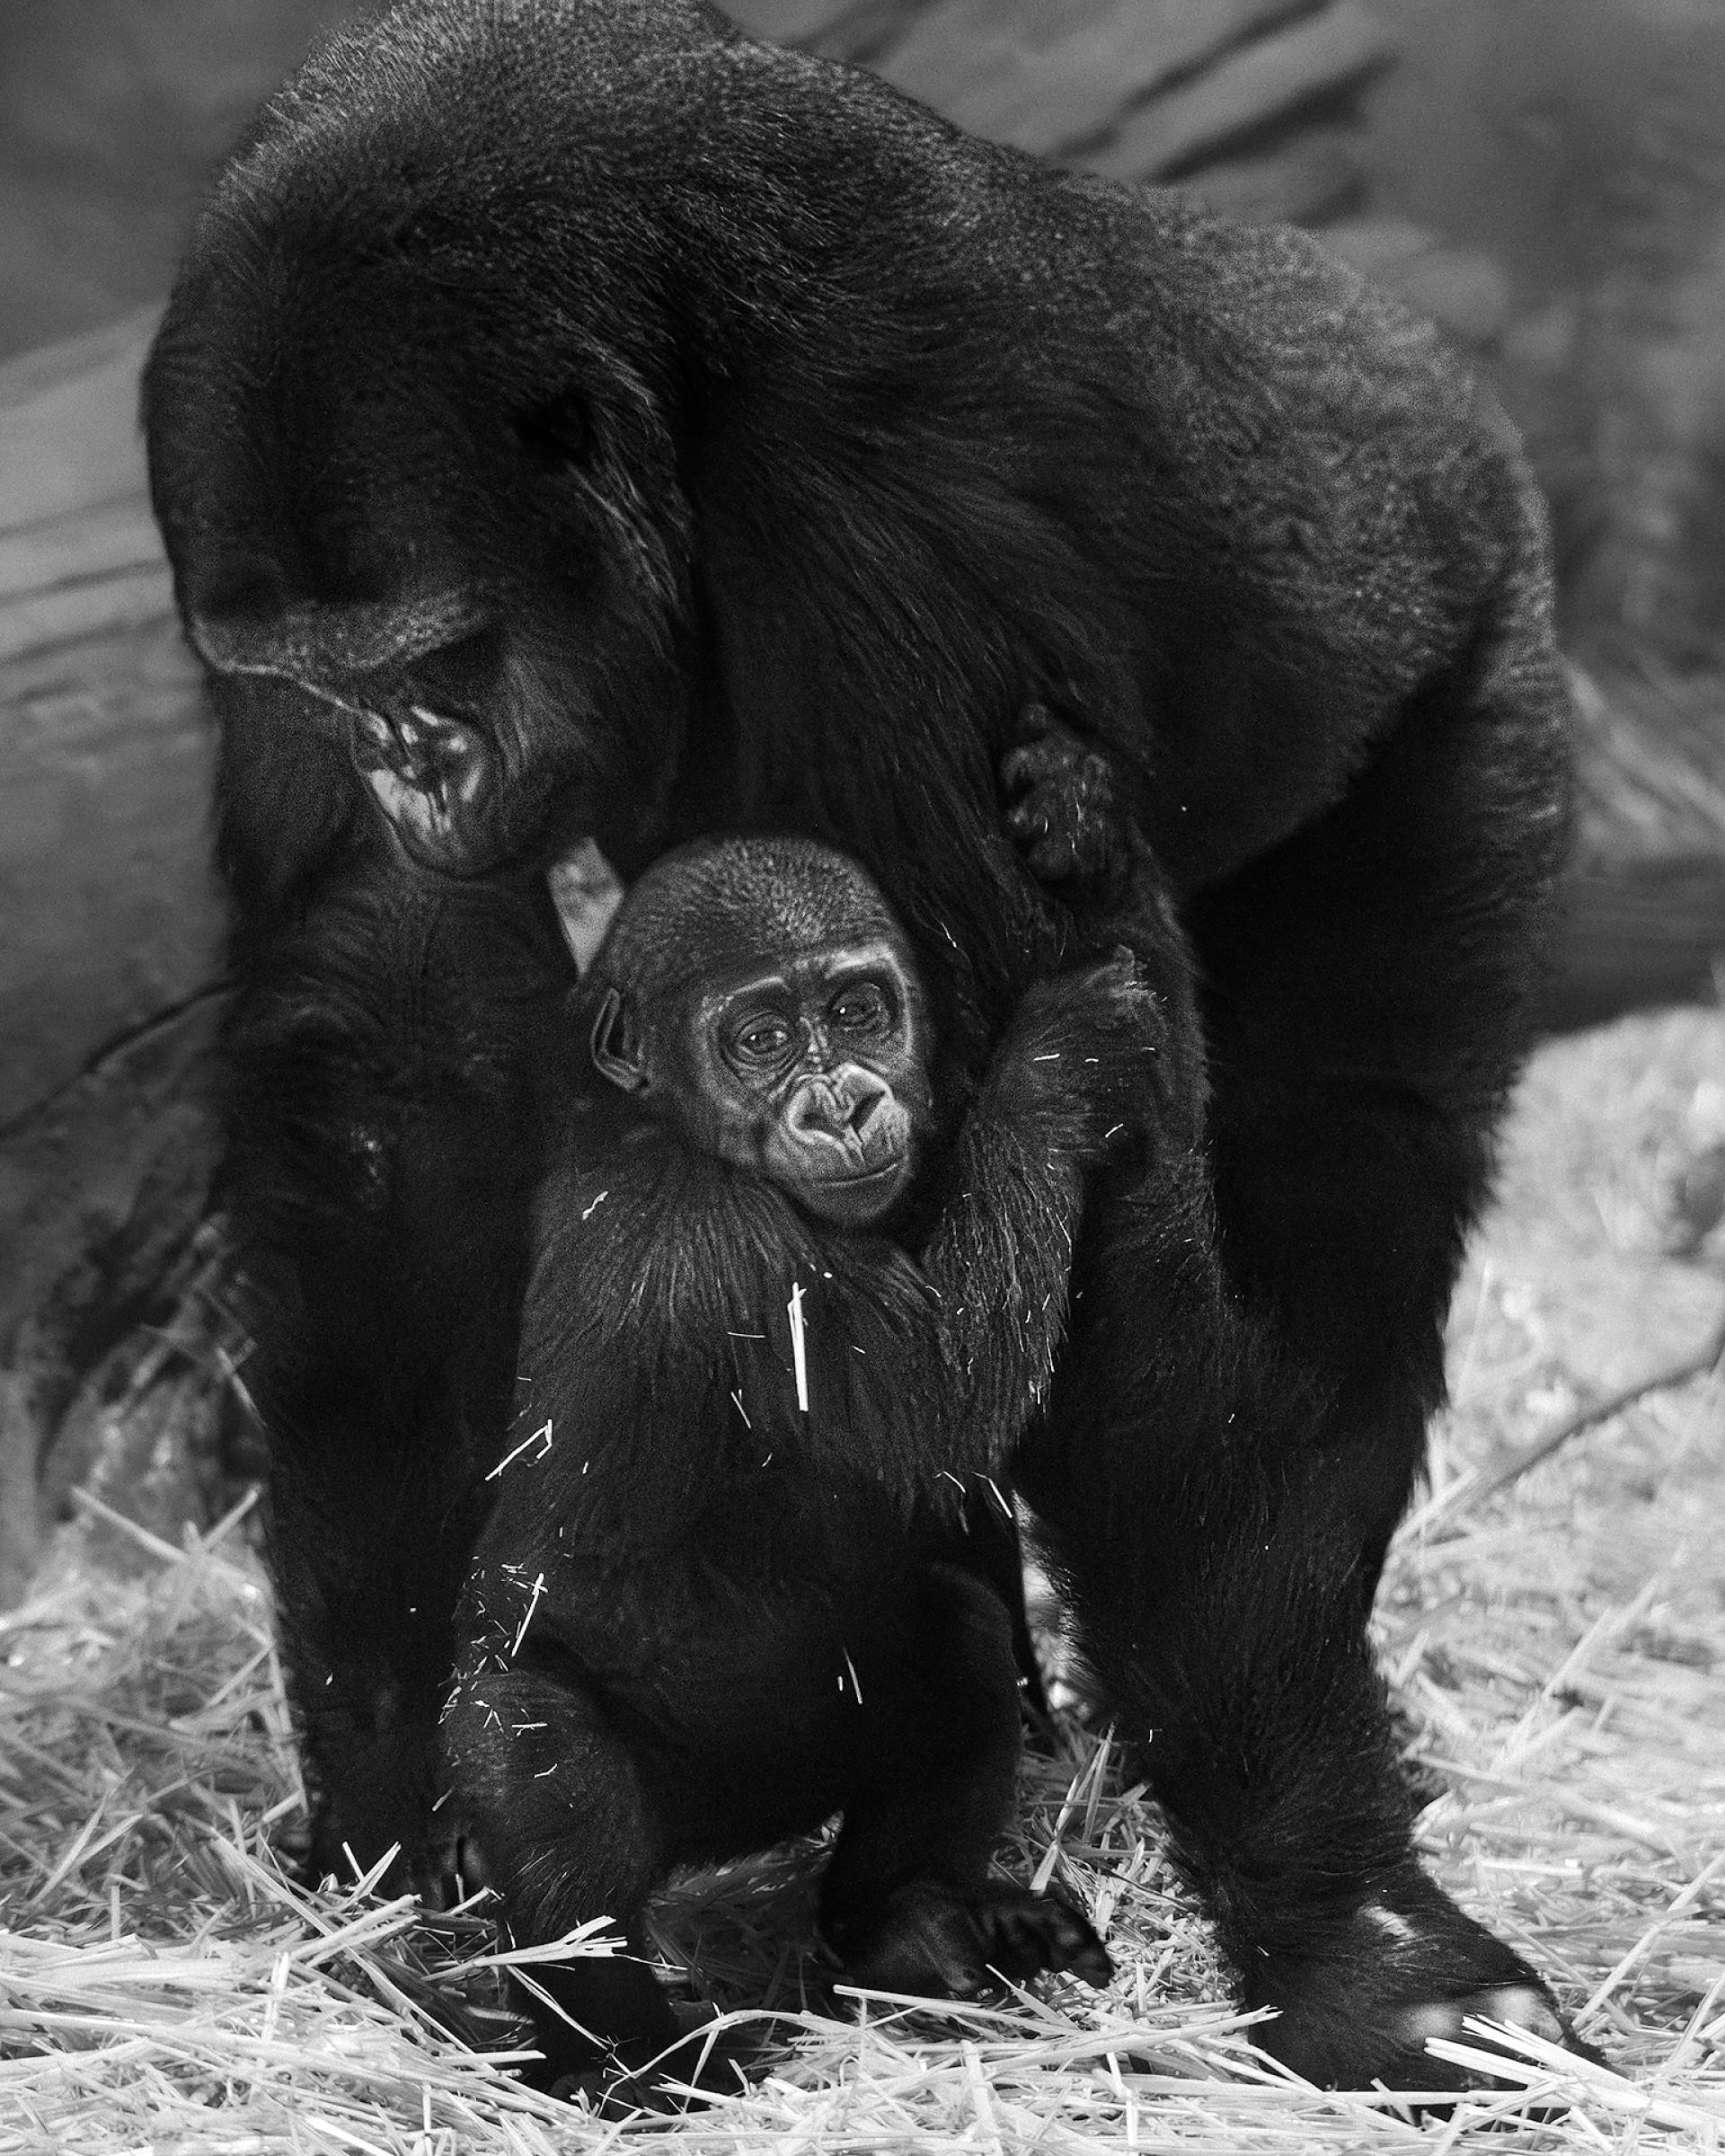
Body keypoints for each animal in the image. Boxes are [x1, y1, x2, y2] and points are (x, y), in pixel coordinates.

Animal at [442, 832, 1155, 2095]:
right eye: (761, 1039)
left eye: (858, 1011)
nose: (845, 1099)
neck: (670, 1126)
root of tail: (728, 1845)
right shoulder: (713, 1242)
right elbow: (946, 1401)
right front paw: (1058, 1065)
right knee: (538, 1764)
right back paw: (633, 2065)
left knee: (956, 1640)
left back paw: (902, 1923)